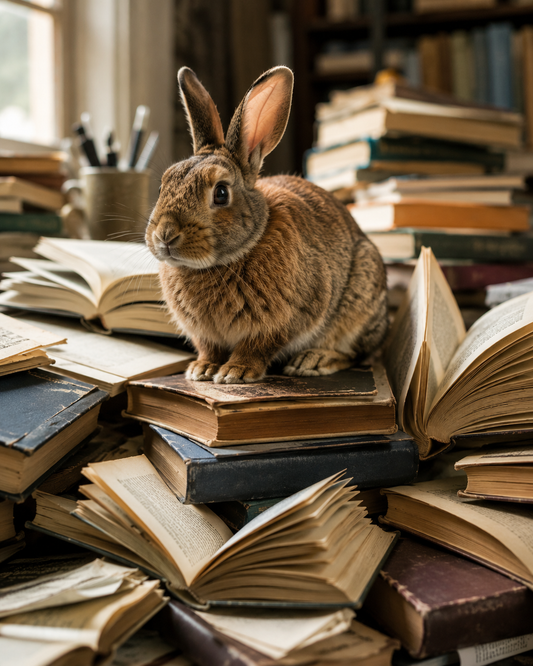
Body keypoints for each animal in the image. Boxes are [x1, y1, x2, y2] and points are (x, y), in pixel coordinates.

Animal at [145, 65, 389, 384]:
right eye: (164, 184)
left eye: (221, 193)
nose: (165, 235)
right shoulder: (204, 335)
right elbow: (209, 348)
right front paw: (202, 369)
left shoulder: (288, 318)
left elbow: (258, 346)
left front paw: (235, 372)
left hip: (359, 304)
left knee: (356, 353)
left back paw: (313, 360)